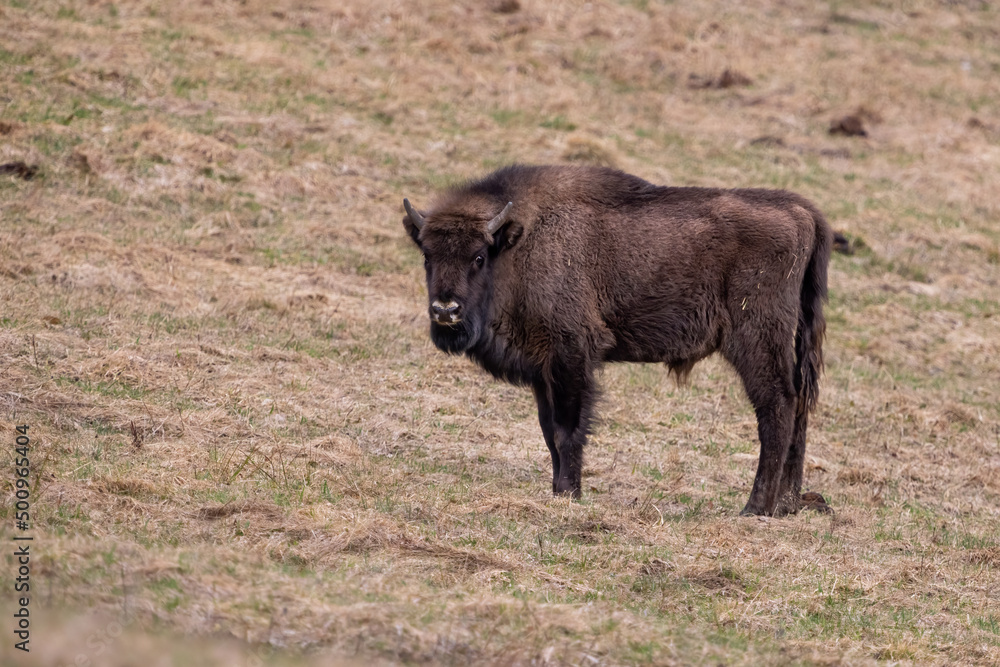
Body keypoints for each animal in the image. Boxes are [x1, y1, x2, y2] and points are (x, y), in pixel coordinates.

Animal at [402, 165, 832, 516]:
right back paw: (787, 505)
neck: (519, 243)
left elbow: (567, 431)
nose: (445, 310)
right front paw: (559, 491)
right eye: (427, 255)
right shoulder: (542, 368)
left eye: (478, 257)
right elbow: (548, 432)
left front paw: (568, 494)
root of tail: (801, 211)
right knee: (799, 408)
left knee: (777, 407)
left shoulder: (571, 355)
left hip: (757, 342)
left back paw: (755, 508)